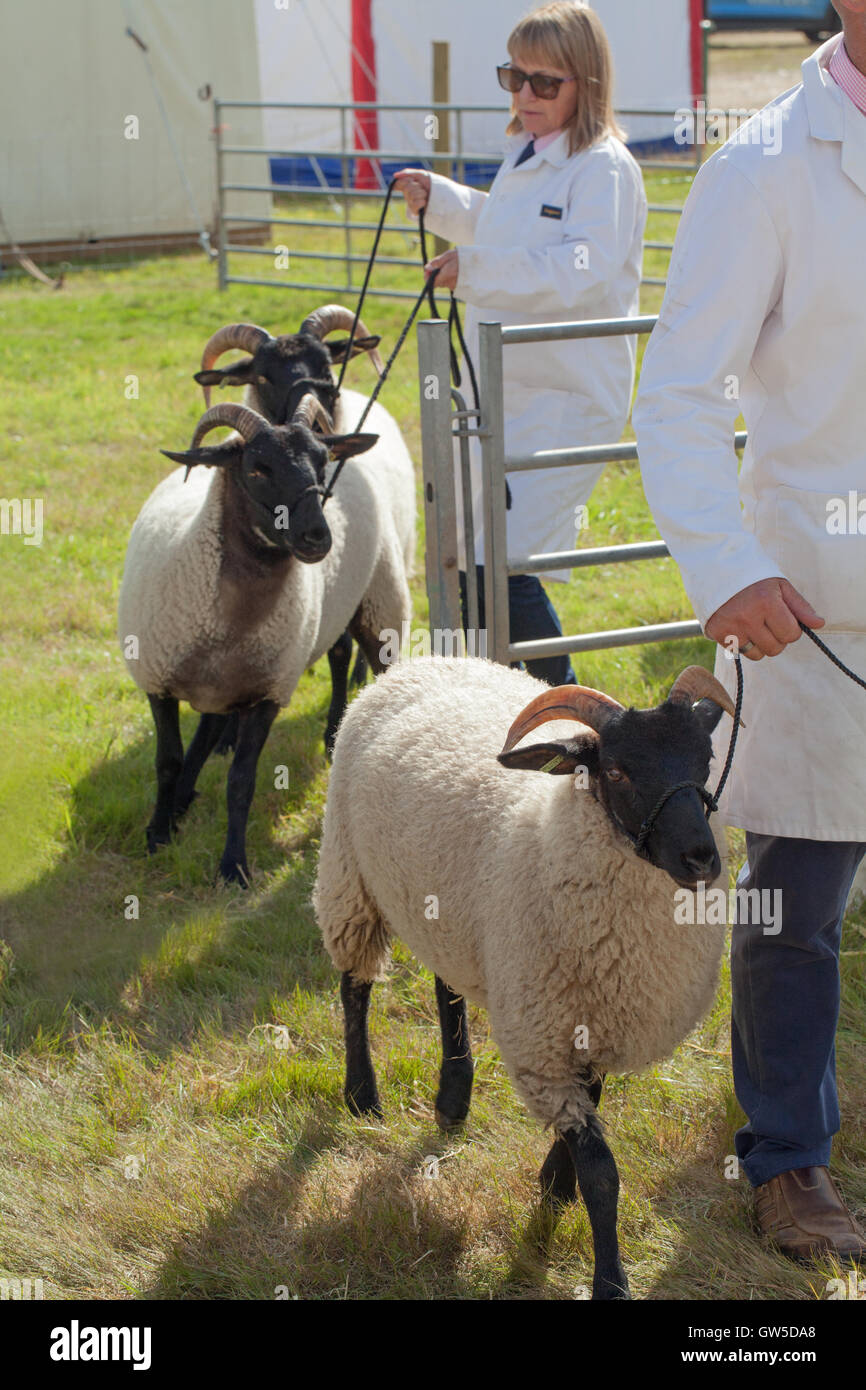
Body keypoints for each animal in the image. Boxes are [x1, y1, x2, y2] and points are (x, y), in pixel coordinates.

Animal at [118, 394, 412, 886]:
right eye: (256, 469)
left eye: (321, 461)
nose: (317, 537)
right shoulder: (158, 679)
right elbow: (168, 761)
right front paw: (159, 832)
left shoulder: (268, 691)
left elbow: (242, 781)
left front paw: (233, 866)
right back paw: (183, 798)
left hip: (377, 606)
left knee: (345, 657)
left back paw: (336, 735)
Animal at [312, 654, 737, 1299]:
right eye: (616, 770)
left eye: (705, 762)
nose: (701, 859)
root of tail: (429, 658)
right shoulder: (544, 1038)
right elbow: (602, 1172)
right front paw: (609, 1278)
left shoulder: (591, 1020)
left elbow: (589, 1108)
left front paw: (554, 1185)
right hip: (348, 872)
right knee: (354, 985)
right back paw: (363, 1097)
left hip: (452, 910)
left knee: (446, 986)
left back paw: (452, 1099)